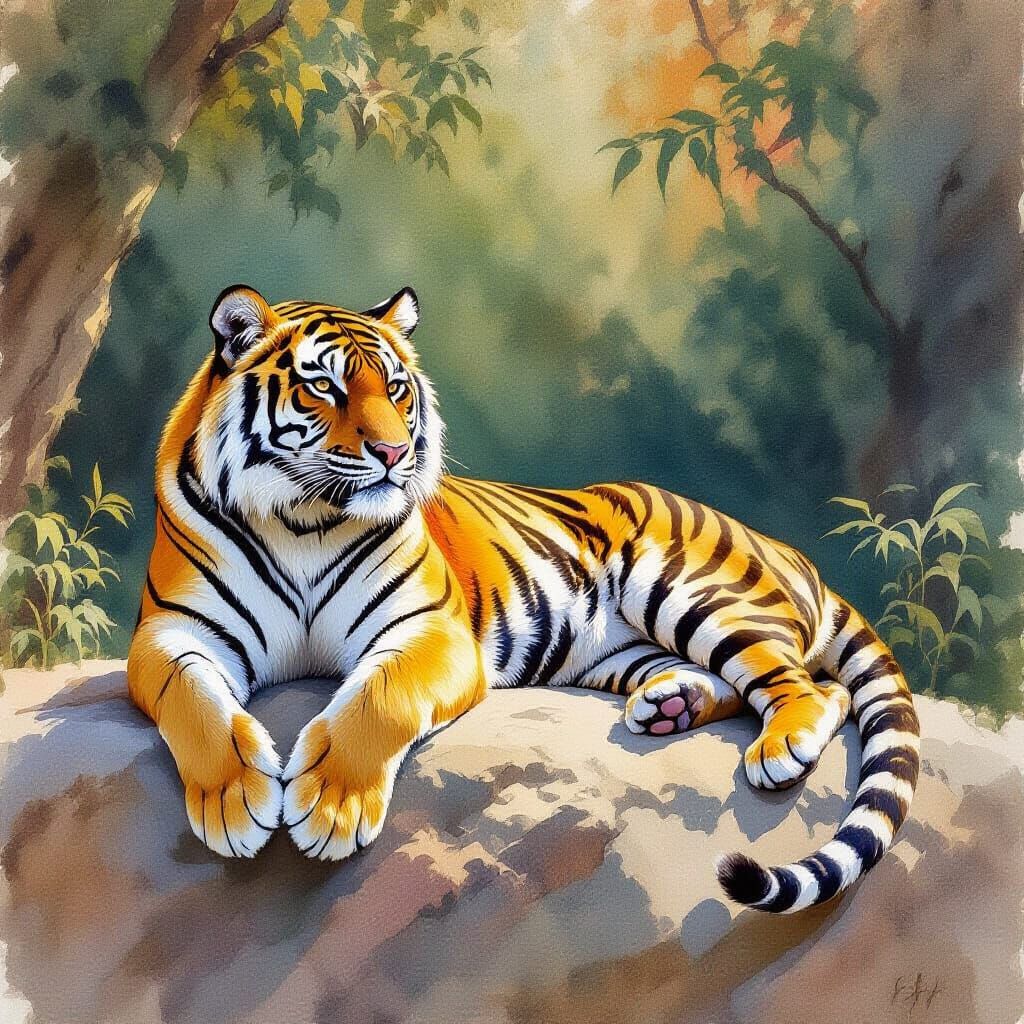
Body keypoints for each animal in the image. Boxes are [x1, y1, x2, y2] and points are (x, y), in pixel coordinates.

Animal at [127, 283, 921, 914]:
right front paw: (234, 800)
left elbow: (377, 698)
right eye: (323, 387)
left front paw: (331, 806)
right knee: (742, 682)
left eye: (397, 388)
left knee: (811, 685)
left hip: (691, 589)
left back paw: (781, 746)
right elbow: (192, 702)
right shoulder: (173, 633)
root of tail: (785, 547)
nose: (393, 453)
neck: (303, 519)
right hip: (618, 653)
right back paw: (670, 707)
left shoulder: (431, 630)